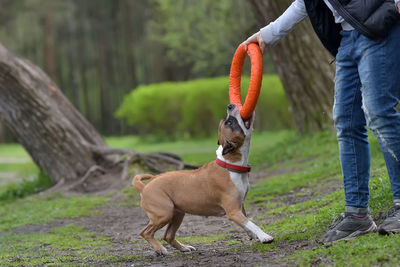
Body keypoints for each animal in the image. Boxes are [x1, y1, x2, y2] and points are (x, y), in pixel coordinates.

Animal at [133, 104, 274, 255]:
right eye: (229, 123)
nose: (230, 106)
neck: (230, 164)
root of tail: (145, 186)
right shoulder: (233, 211)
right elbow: (251, 223)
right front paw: (264, 237)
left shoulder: (240, 206)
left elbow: (247, 223)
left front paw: (253, 235)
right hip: (164, 214)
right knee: (145, 232)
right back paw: (160, 249)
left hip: (177, 214)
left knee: (168, 235)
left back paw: (183, 248)